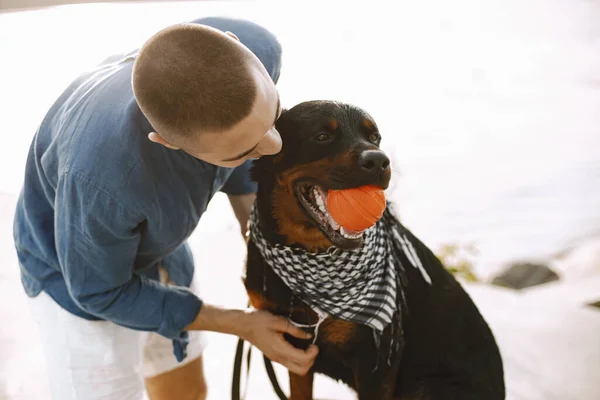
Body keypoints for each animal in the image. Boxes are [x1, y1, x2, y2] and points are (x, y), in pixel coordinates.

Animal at [241, 100, 504, 400]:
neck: (308, 252)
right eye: (322, 136)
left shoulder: (377, 361)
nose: (378, 160)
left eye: (375, 137)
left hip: (428, 388)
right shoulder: (294, 351)